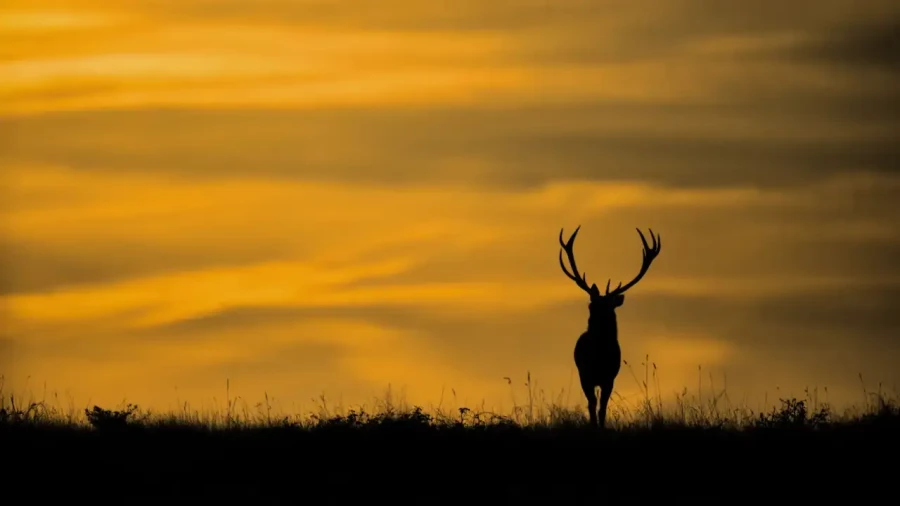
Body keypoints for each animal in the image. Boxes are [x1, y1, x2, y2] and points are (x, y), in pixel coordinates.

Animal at [558, 226, 662, 429]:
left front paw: (601, 426)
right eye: (591, 306)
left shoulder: (610, 378)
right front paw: (593, 426)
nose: (594, 323)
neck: (600, 354)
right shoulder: (586, 375)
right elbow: (592, 404)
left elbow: (603, 407)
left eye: (608, 307)